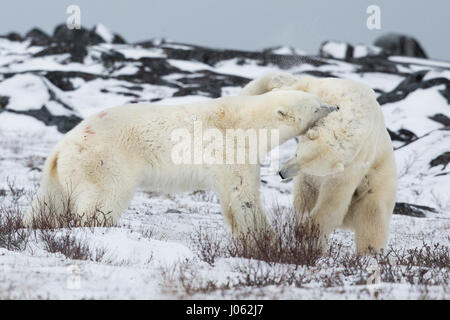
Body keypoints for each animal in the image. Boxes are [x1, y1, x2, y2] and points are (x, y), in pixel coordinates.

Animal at [22, 89, 336, 239]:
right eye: (317, 105)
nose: (335, 107)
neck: (248, 122)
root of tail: (63, 145)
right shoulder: (230, 149)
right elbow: (242, 194)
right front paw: (264, 237)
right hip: (102, 161)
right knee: (104, 197)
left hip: (59, 174)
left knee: (48, 202)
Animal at [241, 72, 396, 252]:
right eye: (296, 153)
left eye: (306, 165)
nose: (281, 174)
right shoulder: (329, 90)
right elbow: (301, 89)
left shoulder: (355, 161)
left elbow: (334, 196)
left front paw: (310, 231)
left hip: (377, 185)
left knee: (372, 219)